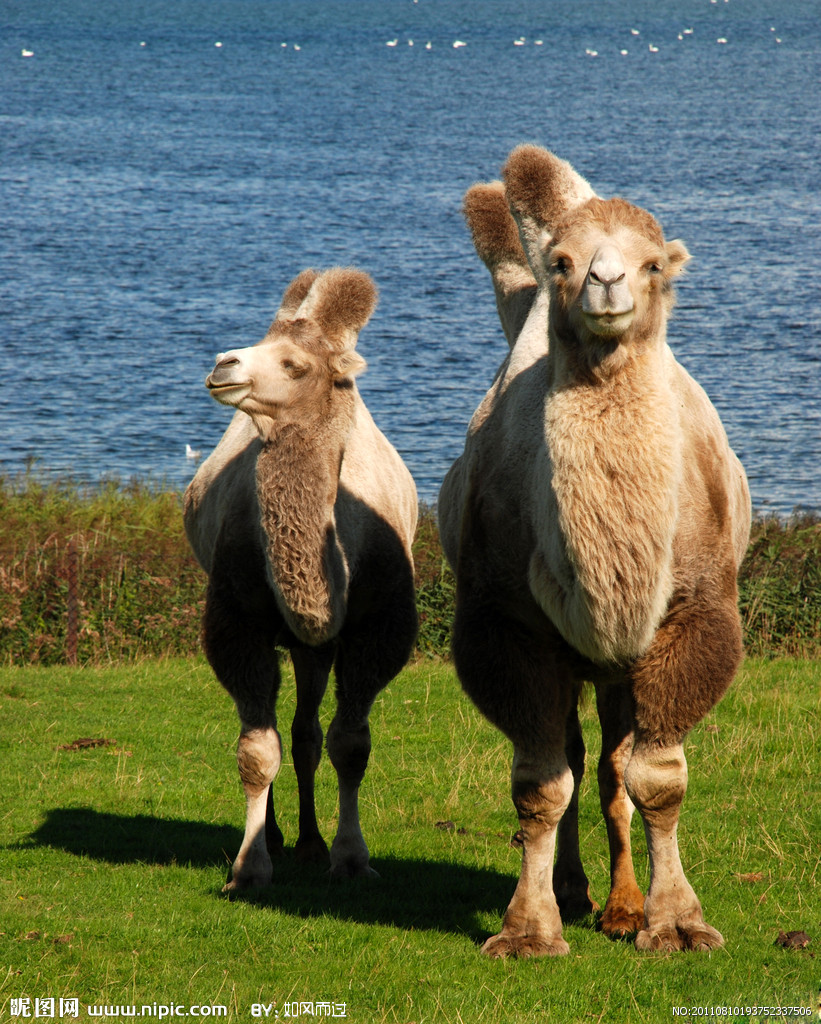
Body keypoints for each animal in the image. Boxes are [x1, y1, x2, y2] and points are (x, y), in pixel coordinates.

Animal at [184, 267, 418, 888]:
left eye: (294, 364)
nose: (223, 363)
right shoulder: (237, 624)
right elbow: (255, 751)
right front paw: (249, 865)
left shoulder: (377, 626)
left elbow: (350, 744)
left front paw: (351, 856)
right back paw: (279, 836)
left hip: (315, 648)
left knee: (307, 733)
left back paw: (311, 842)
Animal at [438, 145, 751, 958]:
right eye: (562, 261)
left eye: (653, 264)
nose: (604, 282)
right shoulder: (503, 626)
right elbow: (539, 783)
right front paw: (527, 928)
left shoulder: (695, 615)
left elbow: (657, 778)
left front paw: (675, 922)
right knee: (580, 759)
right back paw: (576, 892)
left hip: (615, 665)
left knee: (612, 764)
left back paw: (620, 905)